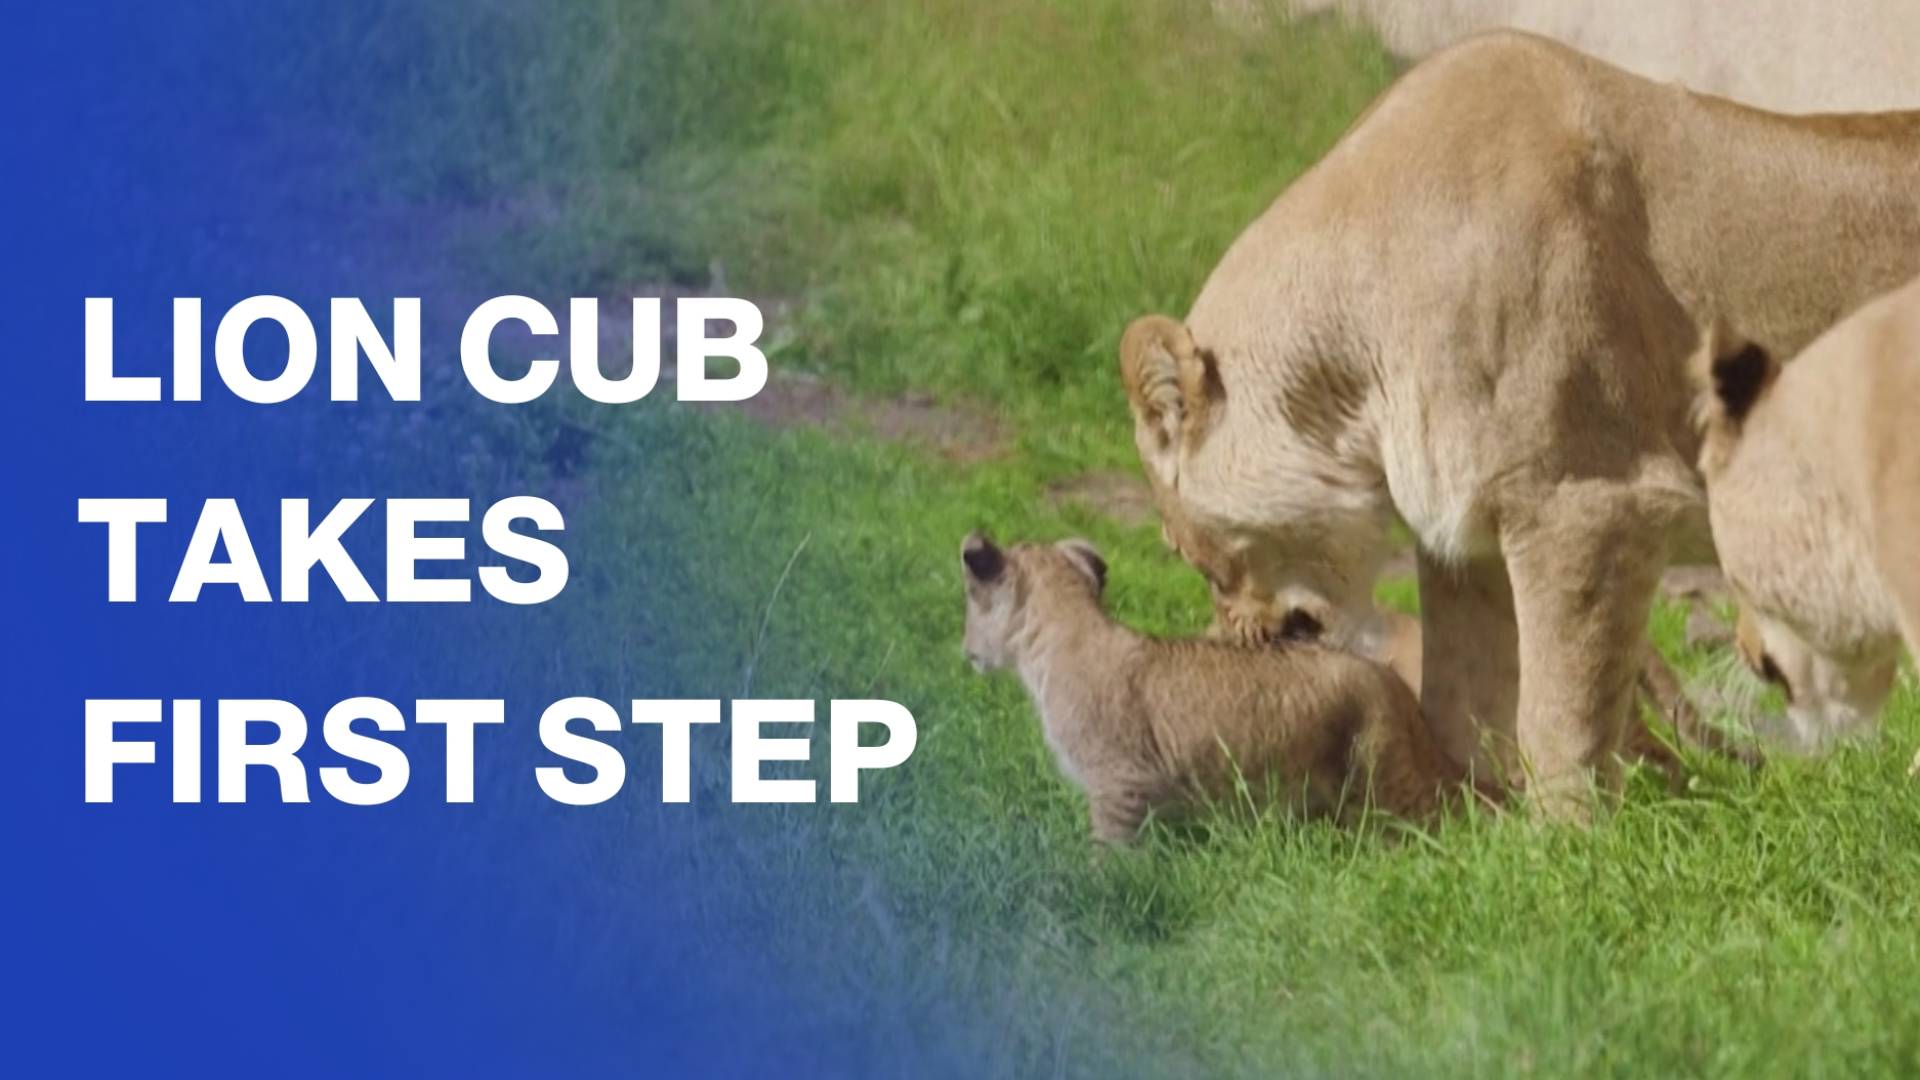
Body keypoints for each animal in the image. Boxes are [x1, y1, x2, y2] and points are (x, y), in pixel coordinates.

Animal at [959, 531, 1480, 843]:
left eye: (969, 603)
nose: (964, 650)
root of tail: (1395, 686)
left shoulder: (1121, 784)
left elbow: (1108, 864)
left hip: (1388, 783)